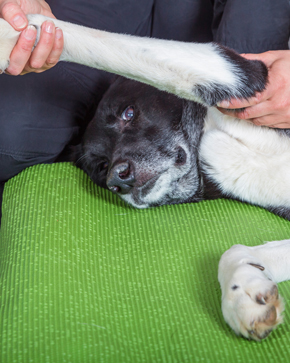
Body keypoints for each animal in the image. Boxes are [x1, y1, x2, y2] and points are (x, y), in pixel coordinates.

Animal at [0, 14, 290, 342]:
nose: (119, 181)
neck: (209, 135)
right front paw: (244, 296)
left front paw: (11, 35)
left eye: (129, 113)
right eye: (101, 166)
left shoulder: (236, 71)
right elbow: (234, 252)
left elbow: (113, 46)